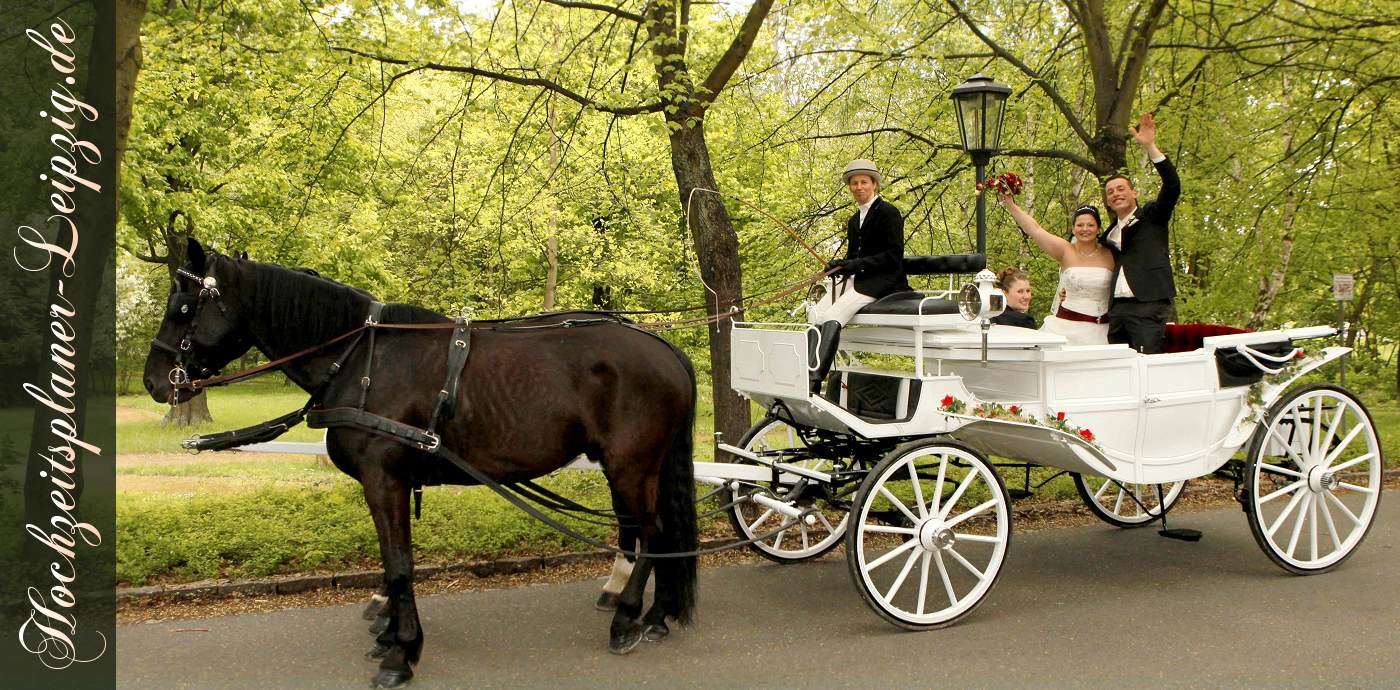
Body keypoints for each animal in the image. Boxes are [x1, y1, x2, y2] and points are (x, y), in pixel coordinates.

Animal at [142, 239, 700, 685]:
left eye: (184, 307)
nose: (153, 380)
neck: (361, 357)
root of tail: (664, 347)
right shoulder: (389, 483)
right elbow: (393, 563)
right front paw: (391, 634)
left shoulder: (384, 480)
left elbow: (399, 565)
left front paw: (402, 652)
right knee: (656, 532)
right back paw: (656, 615)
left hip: (630, 466)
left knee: (652, 533)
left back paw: (627, 618)